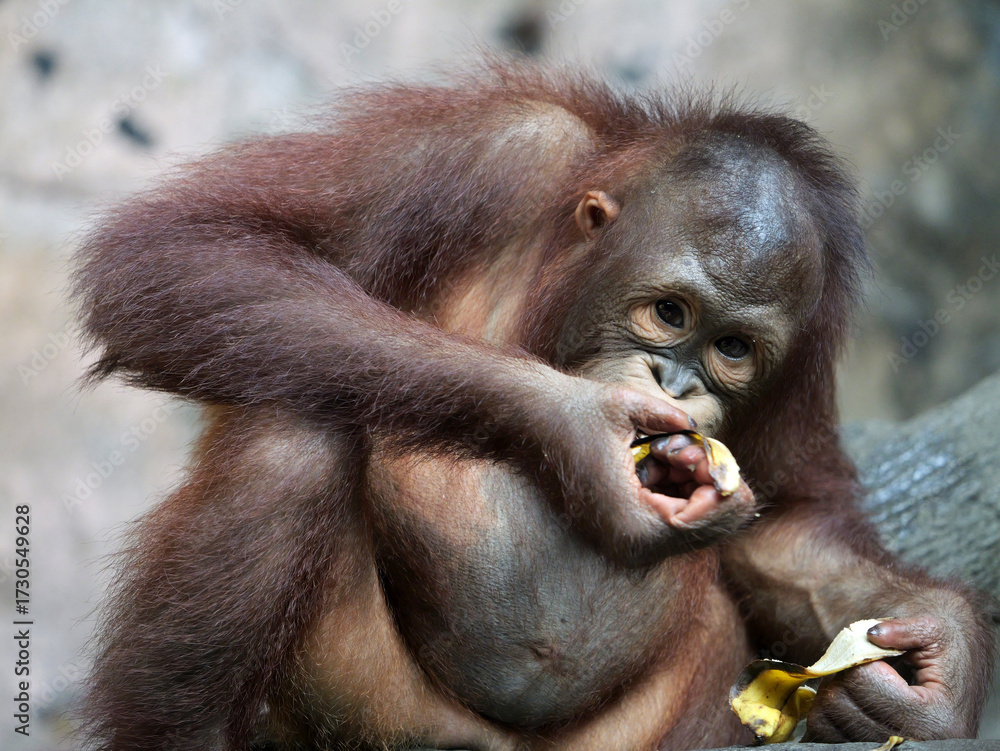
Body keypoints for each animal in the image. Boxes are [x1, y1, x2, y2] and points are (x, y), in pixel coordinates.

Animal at [73, 60, 996, 751]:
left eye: (733, 349)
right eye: (670, 313)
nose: (677, 385)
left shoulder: (808, 342)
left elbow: (787, 523)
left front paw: (939, 654)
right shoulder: (490, 149)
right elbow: (186, 249)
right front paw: (577, 428)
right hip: (365, 709)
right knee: (291, 428)